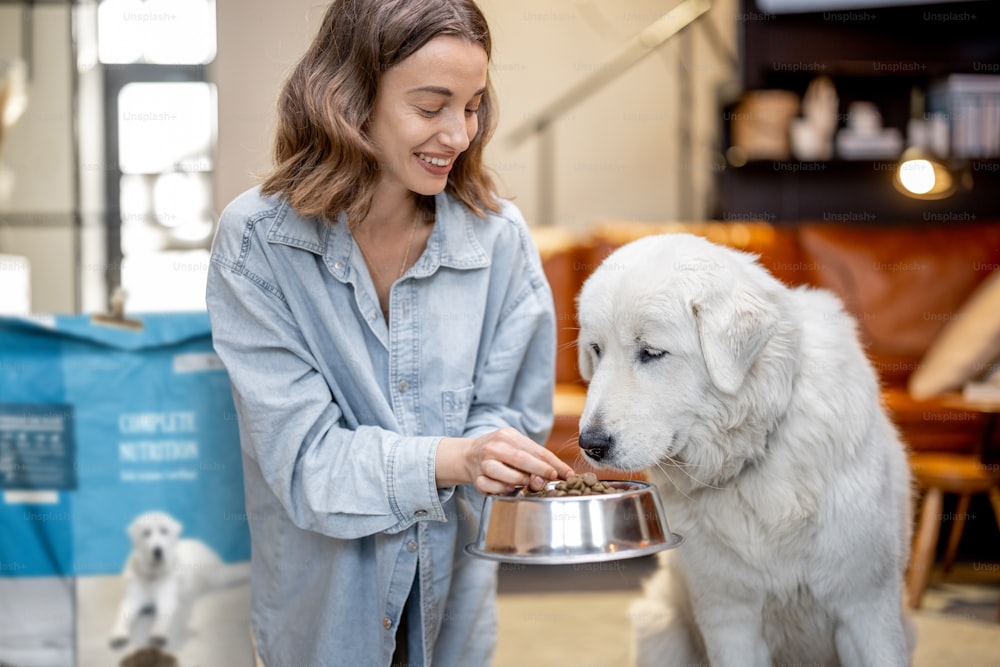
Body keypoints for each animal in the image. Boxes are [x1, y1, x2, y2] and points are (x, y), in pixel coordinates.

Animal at [576, 235, 916, 667]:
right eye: (596, 350)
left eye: (651, 352)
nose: (590, 444)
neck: (754, 450)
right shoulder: (729, 619)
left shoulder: (866, 607)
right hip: (660, 629)